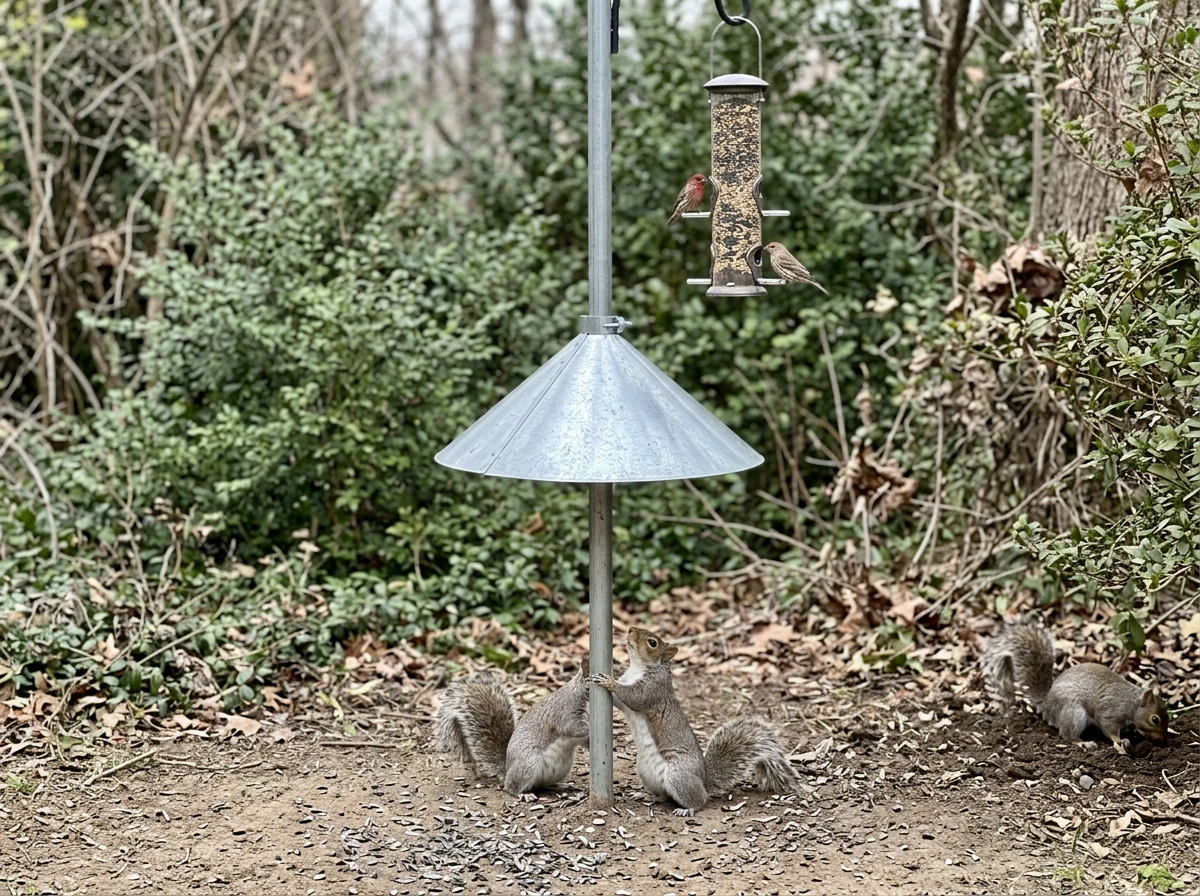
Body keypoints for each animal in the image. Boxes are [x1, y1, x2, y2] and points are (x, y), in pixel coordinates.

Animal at [433, 666, 590, 795]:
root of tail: (507, 770)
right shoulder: (566, 710)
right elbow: (571, 727)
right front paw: (589, 727)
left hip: (561, 769)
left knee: (541, 785)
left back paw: (560, 787)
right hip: (528, 763)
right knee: (512, 788)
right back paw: (523, 795)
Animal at [588, 626, 802, 816]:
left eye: (652, 642)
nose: (630, 630)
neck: (638, 667)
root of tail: (704, 782)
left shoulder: (652, 690)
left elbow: (632, 696)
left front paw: (608, 681)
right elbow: (619, 702)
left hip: (679, 775)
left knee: (699, 800)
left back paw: (687, 809)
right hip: (646, 772)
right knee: (664, 796)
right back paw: (647, 795)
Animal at [980, 623, 1169, 752]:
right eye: (1155, 719)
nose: (1162, 740)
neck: (1130, 702)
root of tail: (1047, 704)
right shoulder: (1109, 711)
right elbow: (1108, 727)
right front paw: (1119, 741)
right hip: (1074, 714)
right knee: (1067, 735)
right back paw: (1084, 743)